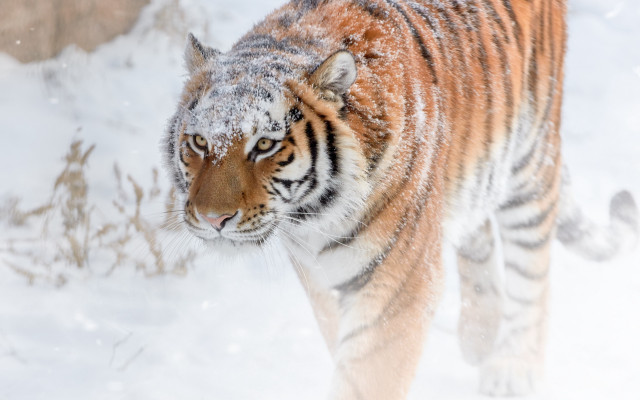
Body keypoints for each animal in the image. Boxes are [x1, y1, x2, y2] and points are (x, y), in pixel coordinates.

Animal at [162, 0, 638, 398]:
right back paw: (479, 335)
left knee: (531, 266)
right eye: (199, 142)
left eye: (264, 145)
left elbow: (369, 371)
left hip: (529, 158)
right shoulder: (321, 277)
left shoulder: (397, 283)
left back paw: (512, 369)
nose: (212, 218)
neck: (313, 216)